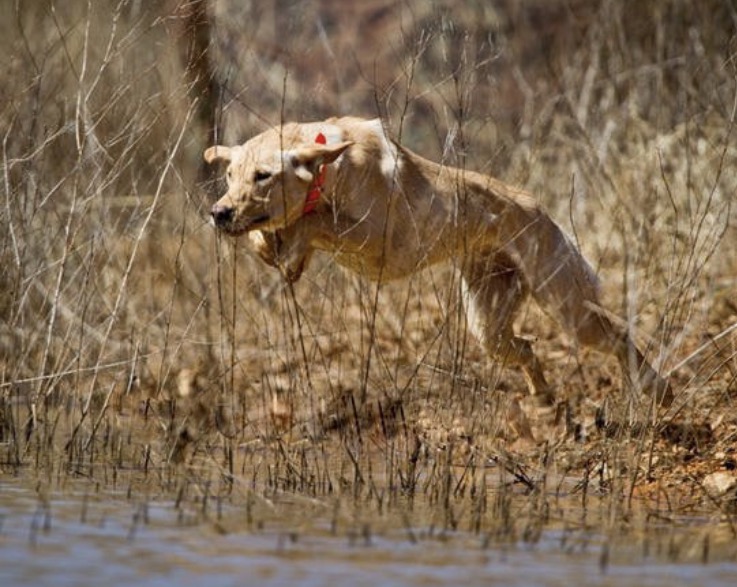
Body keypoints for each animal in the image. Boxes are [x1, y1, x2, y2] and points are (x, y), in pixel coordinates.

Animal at [206, 115, 672, 408]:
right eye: (230, 176)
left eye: (263, 176)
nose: (218, 213)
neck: (332, 169)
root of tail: (542, 210)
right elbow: (272, 236)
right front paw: (276, 250)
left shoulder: (381, 244)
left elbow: (313, 220)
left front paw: (289, 245)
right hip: (489, 326)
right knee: (526, 349)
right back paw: (545, 403)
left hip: (568, 307)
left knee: (619, 334)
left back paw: (657, 389)